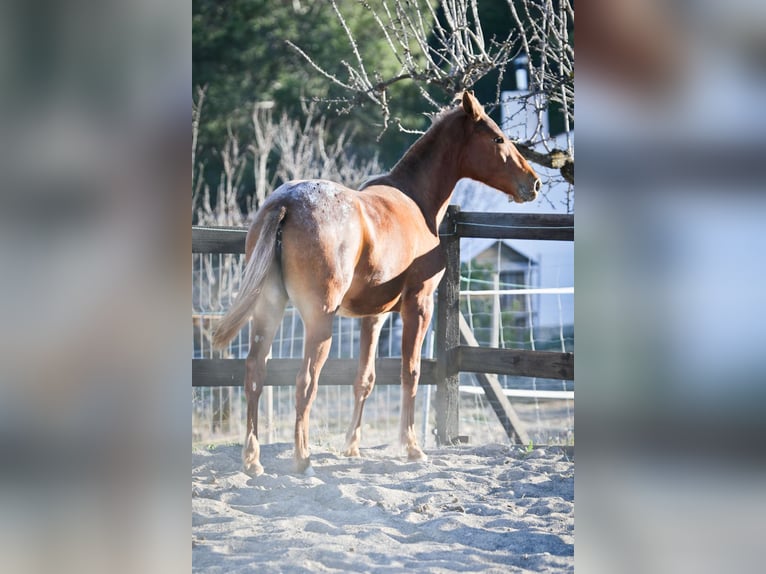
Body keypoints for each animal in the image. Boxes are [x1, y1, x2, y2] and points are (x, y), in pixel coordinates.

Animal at [213, 91, 544, 476]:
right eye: (497, 139)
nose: (534, 183)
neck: (416, 201)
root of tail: (285, 203)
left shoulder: (375, 316)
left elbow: (365, 378)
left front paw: (352, 447)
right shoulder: (418, 306)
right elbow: (411, 372)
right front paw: (412, 447)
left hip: (268, 311)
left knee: (255, 374)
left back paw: (253, 460)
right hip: (319, 321)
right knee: (305, 381)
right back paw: (302, 457)